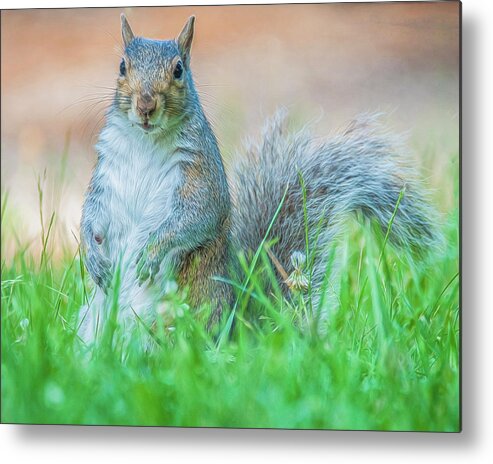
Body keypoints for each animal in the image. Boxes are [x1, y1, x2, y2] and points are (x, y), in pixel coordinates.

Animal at [79, 14, 436, 342]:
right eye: (122, 66)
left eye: (178, 69)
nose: (146, 104)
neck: (146, 140)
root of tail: (238, 334)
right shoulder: (107, 171)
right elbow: (90, 216)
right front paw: (92, 258)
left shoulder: (200, 174)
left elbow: (196, 217)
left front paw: (152, 252)